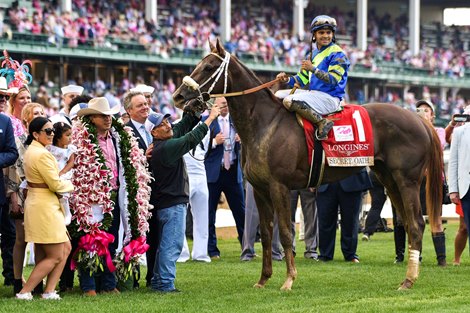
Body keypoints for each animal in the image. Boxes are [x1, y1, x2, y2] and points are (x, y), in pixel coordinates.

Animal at [172, 40, 440, 290]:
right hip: (388, 179)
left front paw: (289, 279)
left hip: (407, 181)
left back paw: (408, 280)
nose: (178, 96)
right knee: (407, 222)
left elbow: (286, 232)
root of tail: (419, 119)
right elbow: (267, 234)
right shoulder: (259, 190)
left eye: (208, 67)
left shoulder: (279, 187)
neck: (265, 123)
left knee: (417, 224)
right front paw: (263, 279)